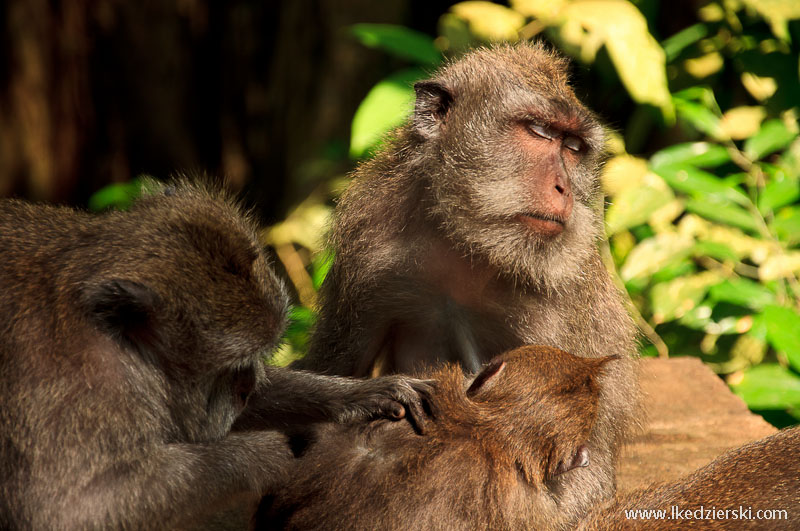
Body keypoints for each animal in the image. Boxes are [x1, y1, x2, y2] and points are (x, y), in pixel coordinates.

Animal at [0, 181, 432, 528]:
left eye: (252, 363)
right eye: (231, 367)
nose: (246, 387)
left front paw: (362, 395)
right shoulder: (72, 386)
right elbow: (69, 511)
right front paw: (265, 454)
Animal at [296, 42, 640, 520]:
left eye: (573, 147)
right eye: (539, 131)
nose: (565, 189)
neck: (467, 242)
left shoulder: (562, 294)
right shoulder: (368, 250)